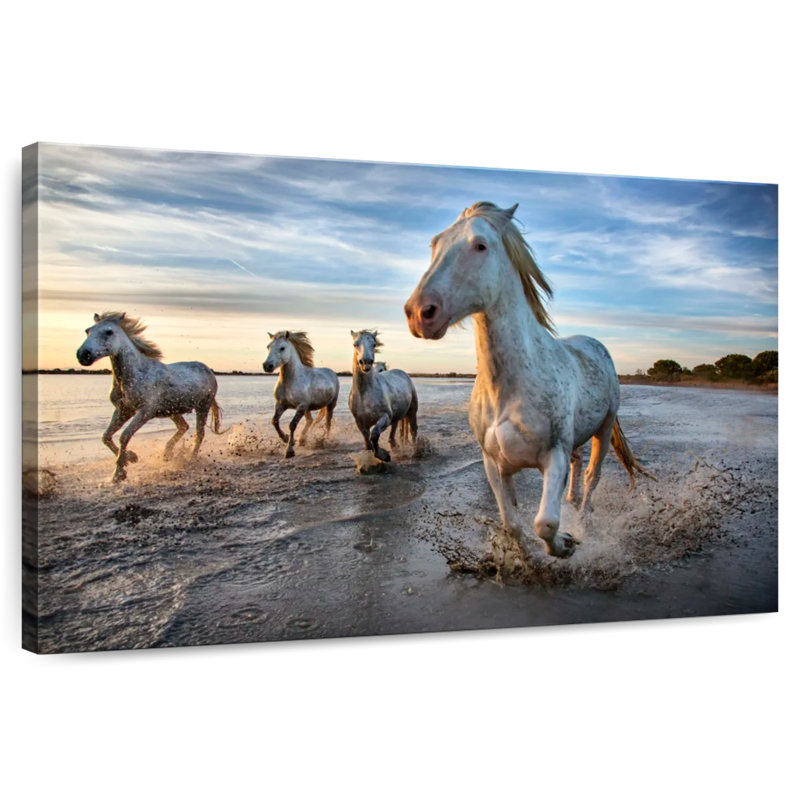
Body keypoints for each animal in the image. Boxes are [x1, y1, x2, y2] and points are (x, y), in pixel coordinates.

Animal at [76, 312, 225, 482]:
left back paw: (190, 460)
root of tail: (208, 370)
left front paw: (119, 473)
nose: (83, 355)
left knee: (199, 434)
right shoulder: (123, 411)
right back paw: (167, 454)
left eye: (109, 332)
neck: (134, 375)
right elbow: (106, 436)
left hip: (202, 406)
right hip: (172, 410)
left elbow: (124, 436)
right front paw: (131, 458)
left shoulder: (145, 412)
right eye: (88, 331)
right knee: (183, 426)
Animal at [349, 330, 418, 462]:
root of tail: (402, 373)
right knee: (394, 430)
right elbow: (367, 443)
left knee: (413, 430)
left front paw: (384, 455)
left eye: (374, 344)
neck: (365, 394)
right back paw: (394, 445)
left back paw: (417, 450)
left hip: (412, 411)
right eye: (355, 344)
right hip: (397, 415)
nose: (366, 362)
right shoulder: (360, 423)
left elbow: (374, 434)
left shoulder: (385, 417)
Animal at [404, 202, 651, 559]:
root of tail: (596, 345)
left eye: (480, 245)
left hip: (603, 431)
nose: (420, 313)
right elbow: (513, 524)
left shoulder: (553, 456)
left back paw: (583, 521)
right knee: (578, 472)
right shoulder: (494, 464)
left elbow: (544, 523)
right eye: (434, 244)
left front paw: (566, 544)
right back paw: (572, 504)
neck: (509, 388)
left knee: (592, 476)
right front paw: (524, 558)